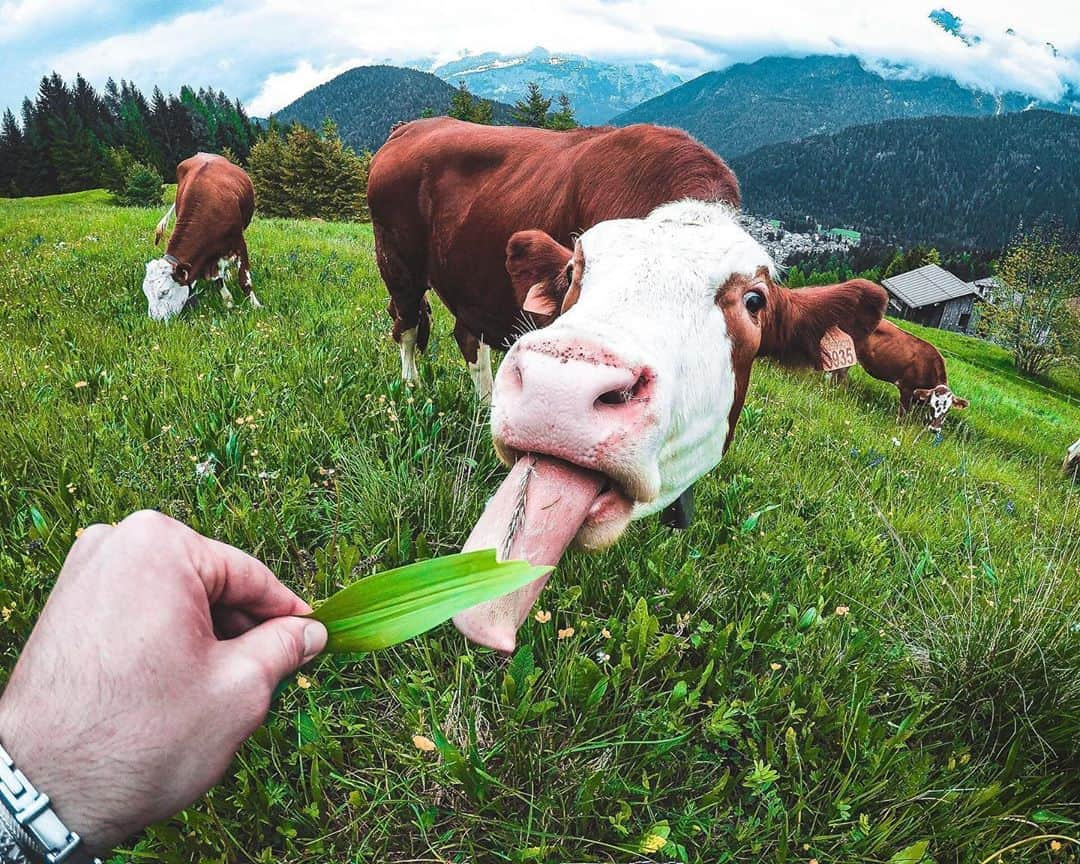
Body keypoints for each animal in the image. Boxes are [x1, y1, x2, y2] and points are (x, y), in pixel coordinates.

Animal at [144, 152, 260, 319]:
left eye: (165, 292)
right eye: (146, 293)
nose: (154, 321)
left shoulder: (239, 241)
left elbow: (244, 279)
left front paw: (255, 305)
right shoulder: (209, 256)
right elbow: (217, 280)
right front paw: (228, 302)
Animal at [833, 319, 972, 429]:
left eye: (947, 410)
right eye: (933, 406)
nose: (934, 429)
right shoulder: (906, 388)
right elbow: (903, 414)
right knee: (841, 373)